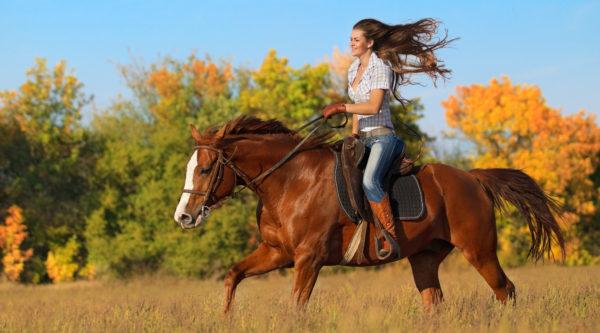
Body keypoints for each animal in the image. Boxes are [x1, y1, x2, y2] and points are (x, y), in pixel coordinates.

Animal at [172, 116, 564, 312]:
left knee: (505, 291)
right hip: (425, 258)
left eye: (204, 169)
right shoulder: (277, 253)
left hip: (479, 251)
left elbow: (296, 307)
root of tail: (473, 178)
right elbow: (233, 276)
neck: (291, 182)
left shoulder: (308, 259)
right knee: (434, 302)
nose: (184, 218)